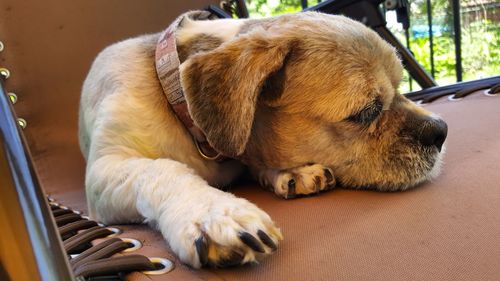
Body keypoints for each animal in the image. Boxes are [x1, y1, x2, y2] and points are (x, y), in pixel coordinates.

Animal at [79, 10, 450, 268]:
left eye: (401, 87)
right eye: (365, 113)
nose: (441, 130)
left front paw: (289, 172)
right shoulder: (104, 172)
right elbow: (161, 168)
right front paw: (214, 212)